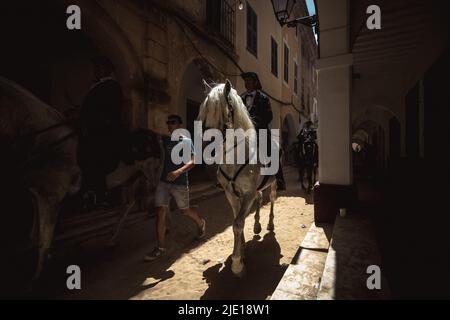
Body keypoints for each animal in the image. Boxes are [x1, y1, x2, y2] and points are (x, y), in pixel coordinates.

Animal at [198, 79, 278, 276]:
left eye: (223, 110)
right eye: (203, 112)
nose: (206, 150)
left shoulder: (247, 193)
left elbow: (238, 223)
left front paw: (236, 264)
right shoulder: (231, 194)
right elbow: (237, 221)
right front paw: (242, 252)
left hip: (273, 183)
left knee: (272, 198)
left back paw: (270, 224)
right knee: (260, 198)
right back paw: (257, 225)